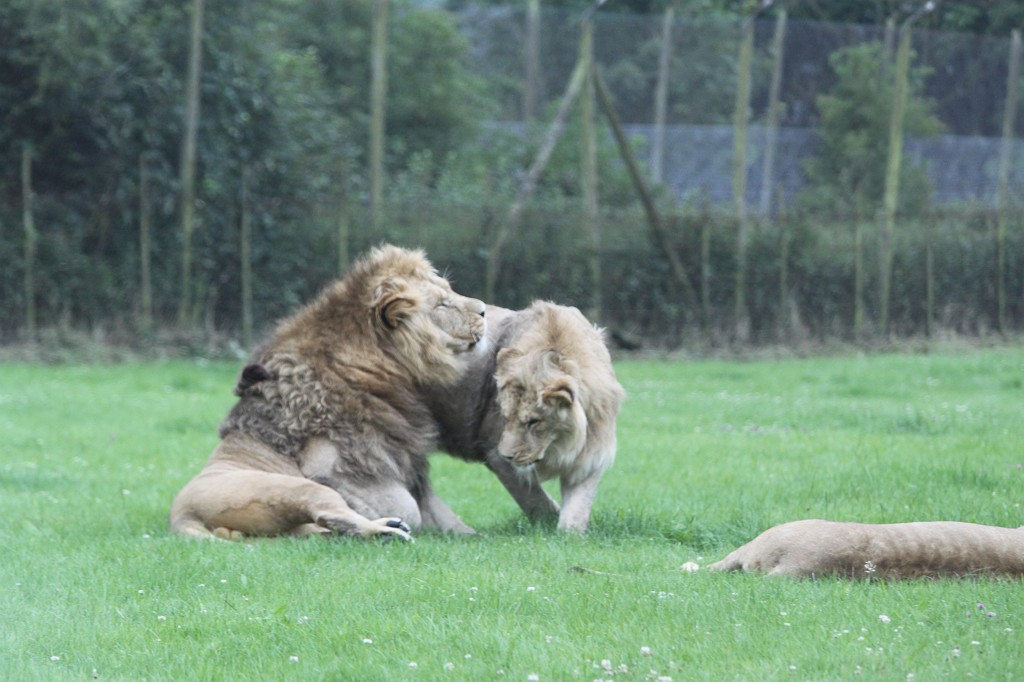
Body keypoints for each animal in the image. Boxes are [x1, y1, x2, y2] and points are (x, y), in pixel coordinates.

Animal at [169, 245, 487, 541]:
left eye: (450, 290)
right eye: (442, 305)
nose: (484, 309)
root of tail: (181, 515)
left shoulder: (411, 462)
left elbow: (441, 511)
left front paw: (470, 534)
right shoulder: (333, 465)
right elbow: (408, 506)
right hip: (299, 488)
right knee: (333, 515)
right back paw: (388, 531)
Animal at [428, 301, 625, 532]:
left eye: (533, 422)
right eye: (506, 417)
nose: (507, 455)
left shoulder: (590, 454)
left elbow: (578, 505)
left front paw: (569, 533)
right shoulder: (495, 453)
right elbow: (534, 499)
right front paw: (547, 524)